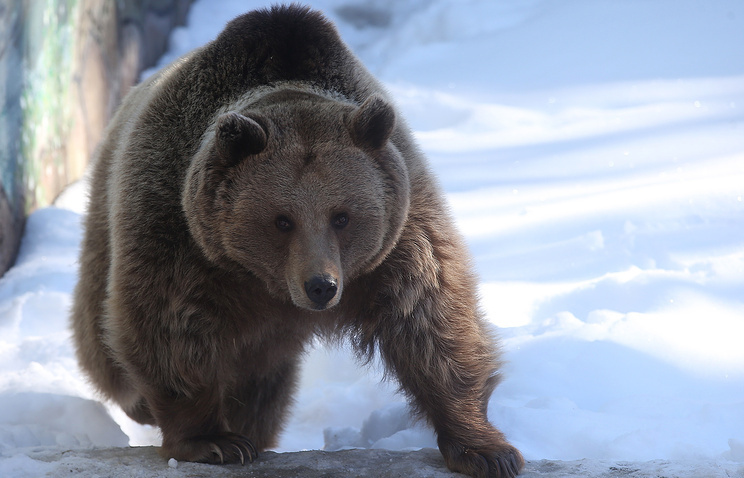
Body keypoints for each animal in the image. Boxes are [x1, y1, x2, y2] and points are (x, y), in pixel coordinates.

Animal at [70, 4, 524, 478]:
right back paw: (143, 404)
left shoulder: (399, 235)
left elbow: (430, 319)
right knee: (100, 337)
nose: (320, 286)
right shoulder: (181, 234)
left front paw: (486, 449)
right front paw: (213, 440)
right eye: (281, 220)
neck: (266, 284)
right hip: (106, 221)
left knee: (261, 388)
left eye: (342, 216)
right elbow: (170, 324)